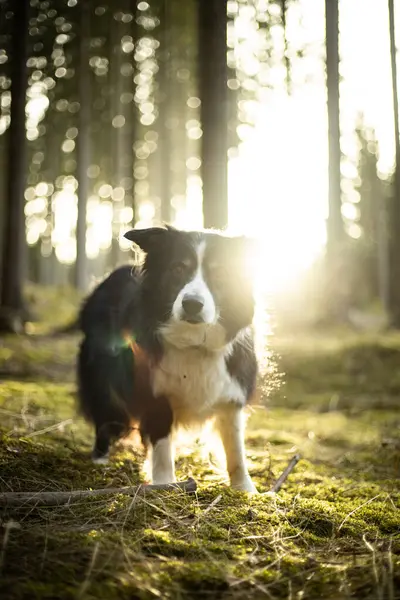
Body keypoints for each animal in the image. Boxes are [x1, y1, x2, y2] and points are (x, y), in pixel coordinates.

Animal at [77, 225, 258, 492]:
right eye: (178, 269)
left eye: (220, 272)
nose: (192, 304)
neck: (193, 342)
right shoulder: (155, 393)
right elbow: (162, 444)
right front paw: (165, 485)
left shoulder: (232, 392)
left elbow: (235, 446)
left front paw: (246, 489)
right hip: (100, 376)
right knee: (104, 415)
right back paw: (99, 459)